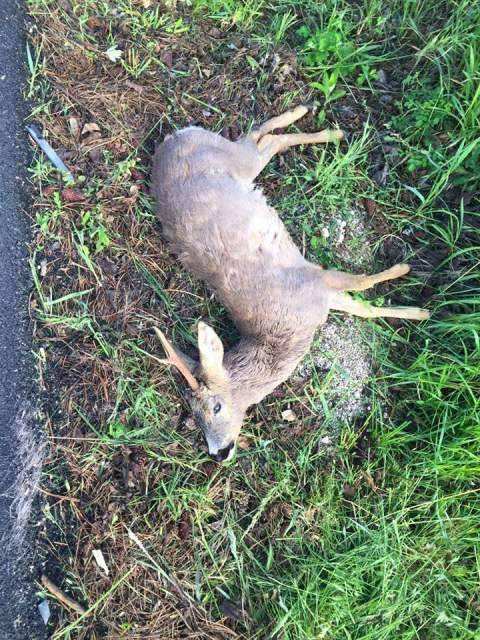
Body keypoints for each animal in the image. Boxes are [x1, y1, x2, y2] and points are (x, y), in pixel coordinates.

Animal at [151, 105, 430, 462]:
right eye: (193, 415)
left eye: (216, 407)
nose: (218, 452)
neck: (283, 331)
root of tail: (173, 138)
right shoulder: (320, 295)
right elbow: (364, 308)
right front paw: (420, 312)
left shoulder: (314, 279)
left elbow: (363, 284)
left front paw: (405, 271)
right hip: (237, 161)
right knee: (260, 137)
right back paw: (316, 120)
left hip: (238, 160)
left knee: (263, 140)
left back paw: (327, 128)